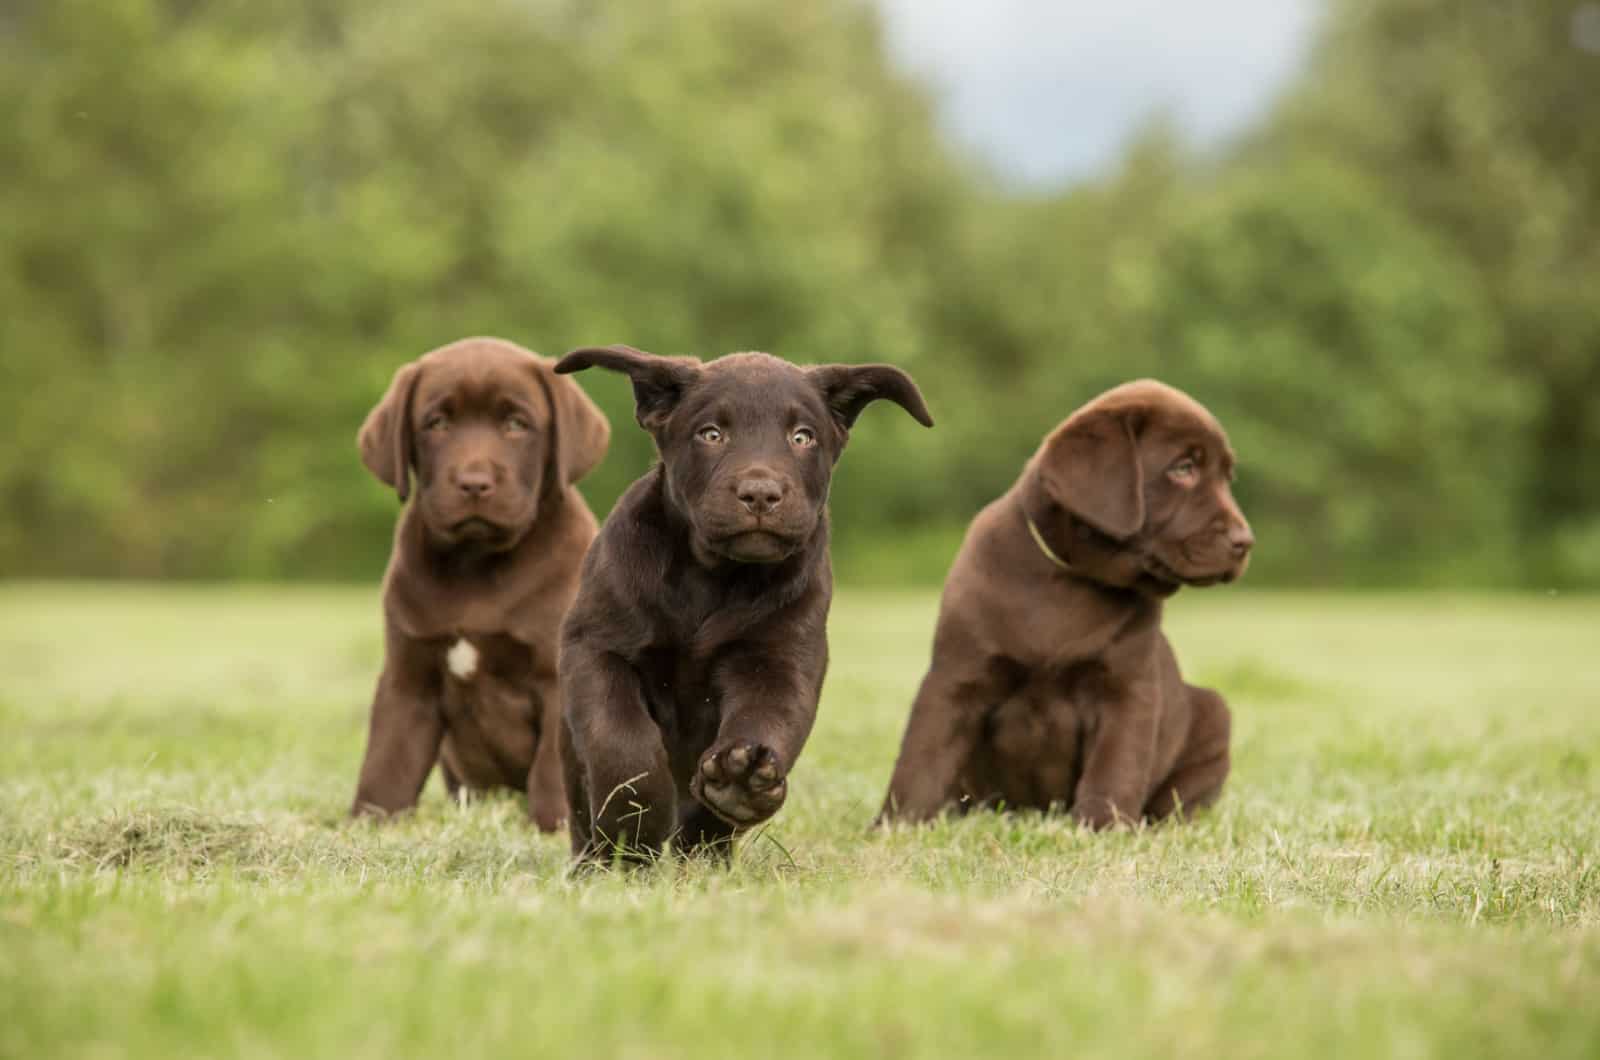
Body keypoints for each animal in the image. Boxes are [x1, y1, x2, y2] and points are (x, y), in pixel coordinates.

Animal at [353, 336, 608, 832]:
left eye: (516, 424)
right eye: (436, 423)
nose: (474, 483)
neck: (476, 564)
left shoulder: (555, 676)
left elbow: (551, 766)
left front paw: (554, 827)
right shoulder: (408, 677)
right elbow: (388, 760)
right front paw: (371, 824)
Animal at [553, 349, 934, 864]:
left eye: (802, 437)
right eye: (711, 434)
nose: (760, 494)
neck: (713, 577)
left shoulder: (778, 662)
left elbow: (768, 718)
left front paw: (740, 781)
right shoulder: (597, 647)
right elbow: (618, 738)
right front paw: (636, 821)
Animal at [883, 379, 1254, 832]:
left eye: (1226, 477)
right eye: (1183, 468)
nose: (1245, 541)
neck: (1070, 580)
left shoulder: (1127, 691)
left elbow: (1115, 769)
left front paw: (1101, 828)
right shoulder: (956, 677)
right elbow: (920, 759)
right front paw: (894, 827)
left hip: (1214, 717)